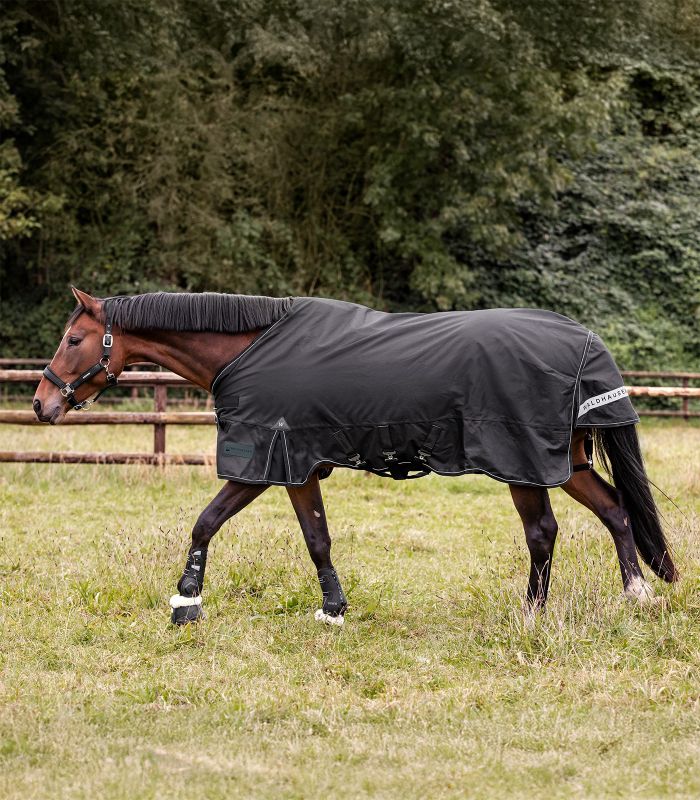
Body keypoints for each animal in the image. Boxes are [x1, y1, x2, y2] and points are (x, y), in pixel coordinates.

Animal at [32, 288, 678, 626]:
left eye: (72, 339)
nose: (42, 403)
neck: (249, 349)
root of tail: (584, 341)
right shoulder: (299, 469)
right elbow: (317, 538)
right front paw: (333, 608)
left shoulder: (268, 463)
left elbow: (206, 521)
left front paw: (186, 601)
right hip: (566, 463)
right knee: (616, 511)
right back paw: (636, 595)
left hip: (525, 464)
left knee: (543, 532)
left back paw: (532, 614)